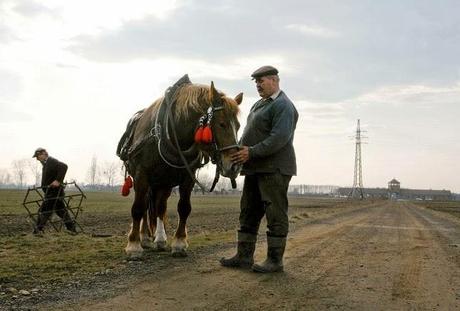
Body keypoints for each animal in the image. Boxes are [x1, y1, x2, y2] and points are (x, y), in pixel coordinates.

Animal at [120, 75, 243, 258]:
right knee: (146, 206)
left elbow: (184, 208)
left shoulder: (187, 176)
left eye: (238, 126)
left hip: (164, 182)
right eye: (221, 124)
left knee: (160, 207)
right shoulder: (142, 175)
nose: (234, 166)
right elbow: (138, 208)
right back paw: (144, 238)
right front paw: (134, 245)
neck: (169, 131)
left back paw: (160, 239)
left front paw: (178, 243)